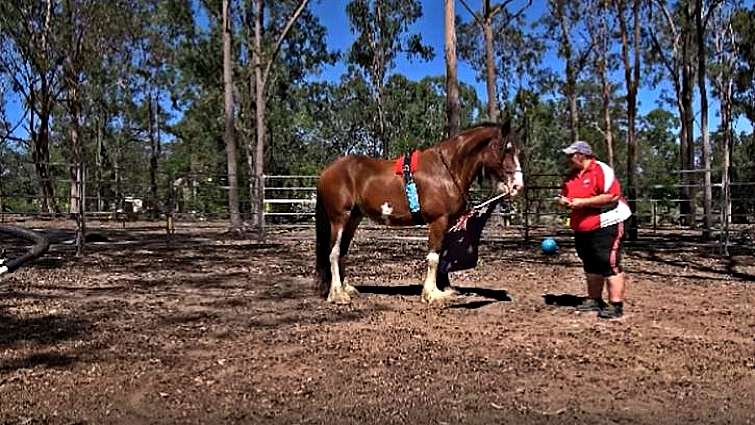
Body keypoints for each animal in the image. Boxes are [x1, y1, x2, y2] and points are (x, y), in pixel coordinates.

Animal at [315, 121, 523, 305]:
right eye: (506, 149)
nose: (517, 186)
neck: (445, 171)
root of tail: (327, 171)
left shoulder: (447, 223)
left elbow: (442, 255)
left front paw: (445, 288)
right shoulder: (438, 221)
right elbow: (434, 258)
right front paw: (432, 294)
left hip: (353, 219)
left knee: (343, 251)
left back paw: (347, 288)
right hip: (339, 218)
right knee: (333, 253)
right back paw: (338, 295)